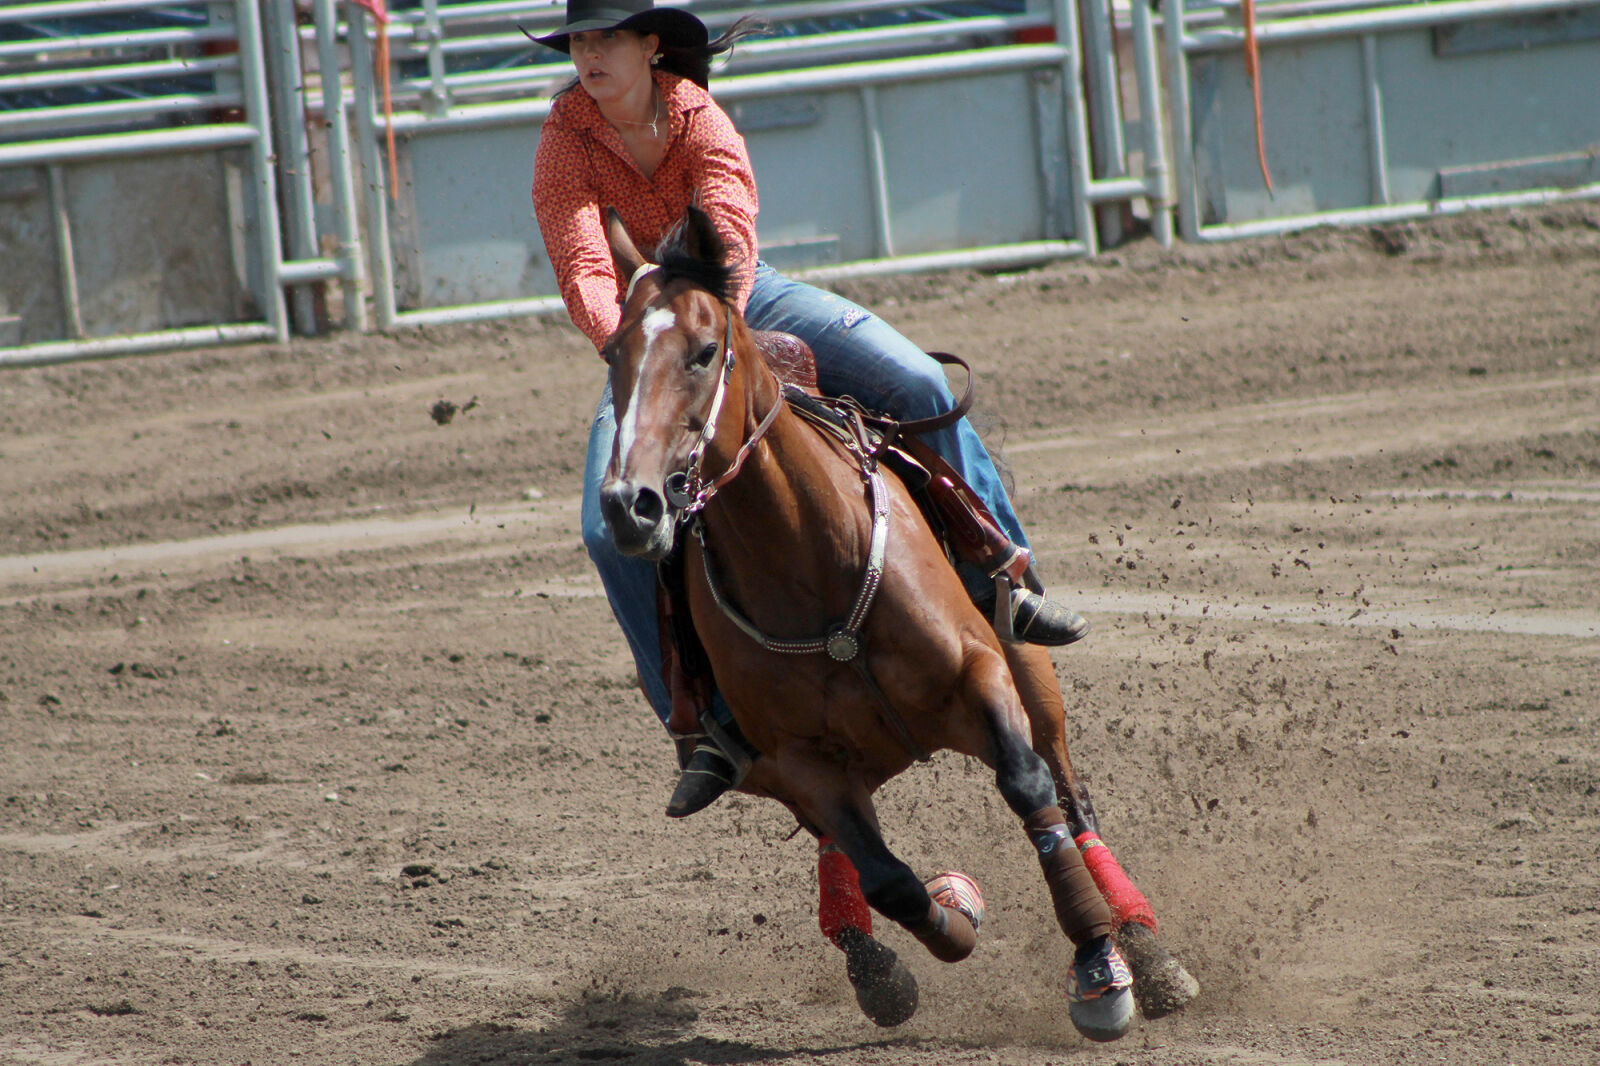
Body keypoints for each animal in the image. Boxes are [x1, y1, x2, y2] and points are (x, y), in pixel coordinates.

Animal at [597, 205, 1198, 1041]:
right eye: (612, 354)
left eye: (705, 350)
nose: (631, 504)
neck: (813, 560)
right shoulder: (799, 763)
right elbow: (888, 879)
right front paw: (949, 921)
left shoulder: (981, 673)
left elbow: (1028, 789)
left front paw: (1096, 969)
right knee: (841, 855)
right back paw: (869, 964)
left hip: (1032, 670)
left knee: (1072, 798)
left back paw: (1145, 949)